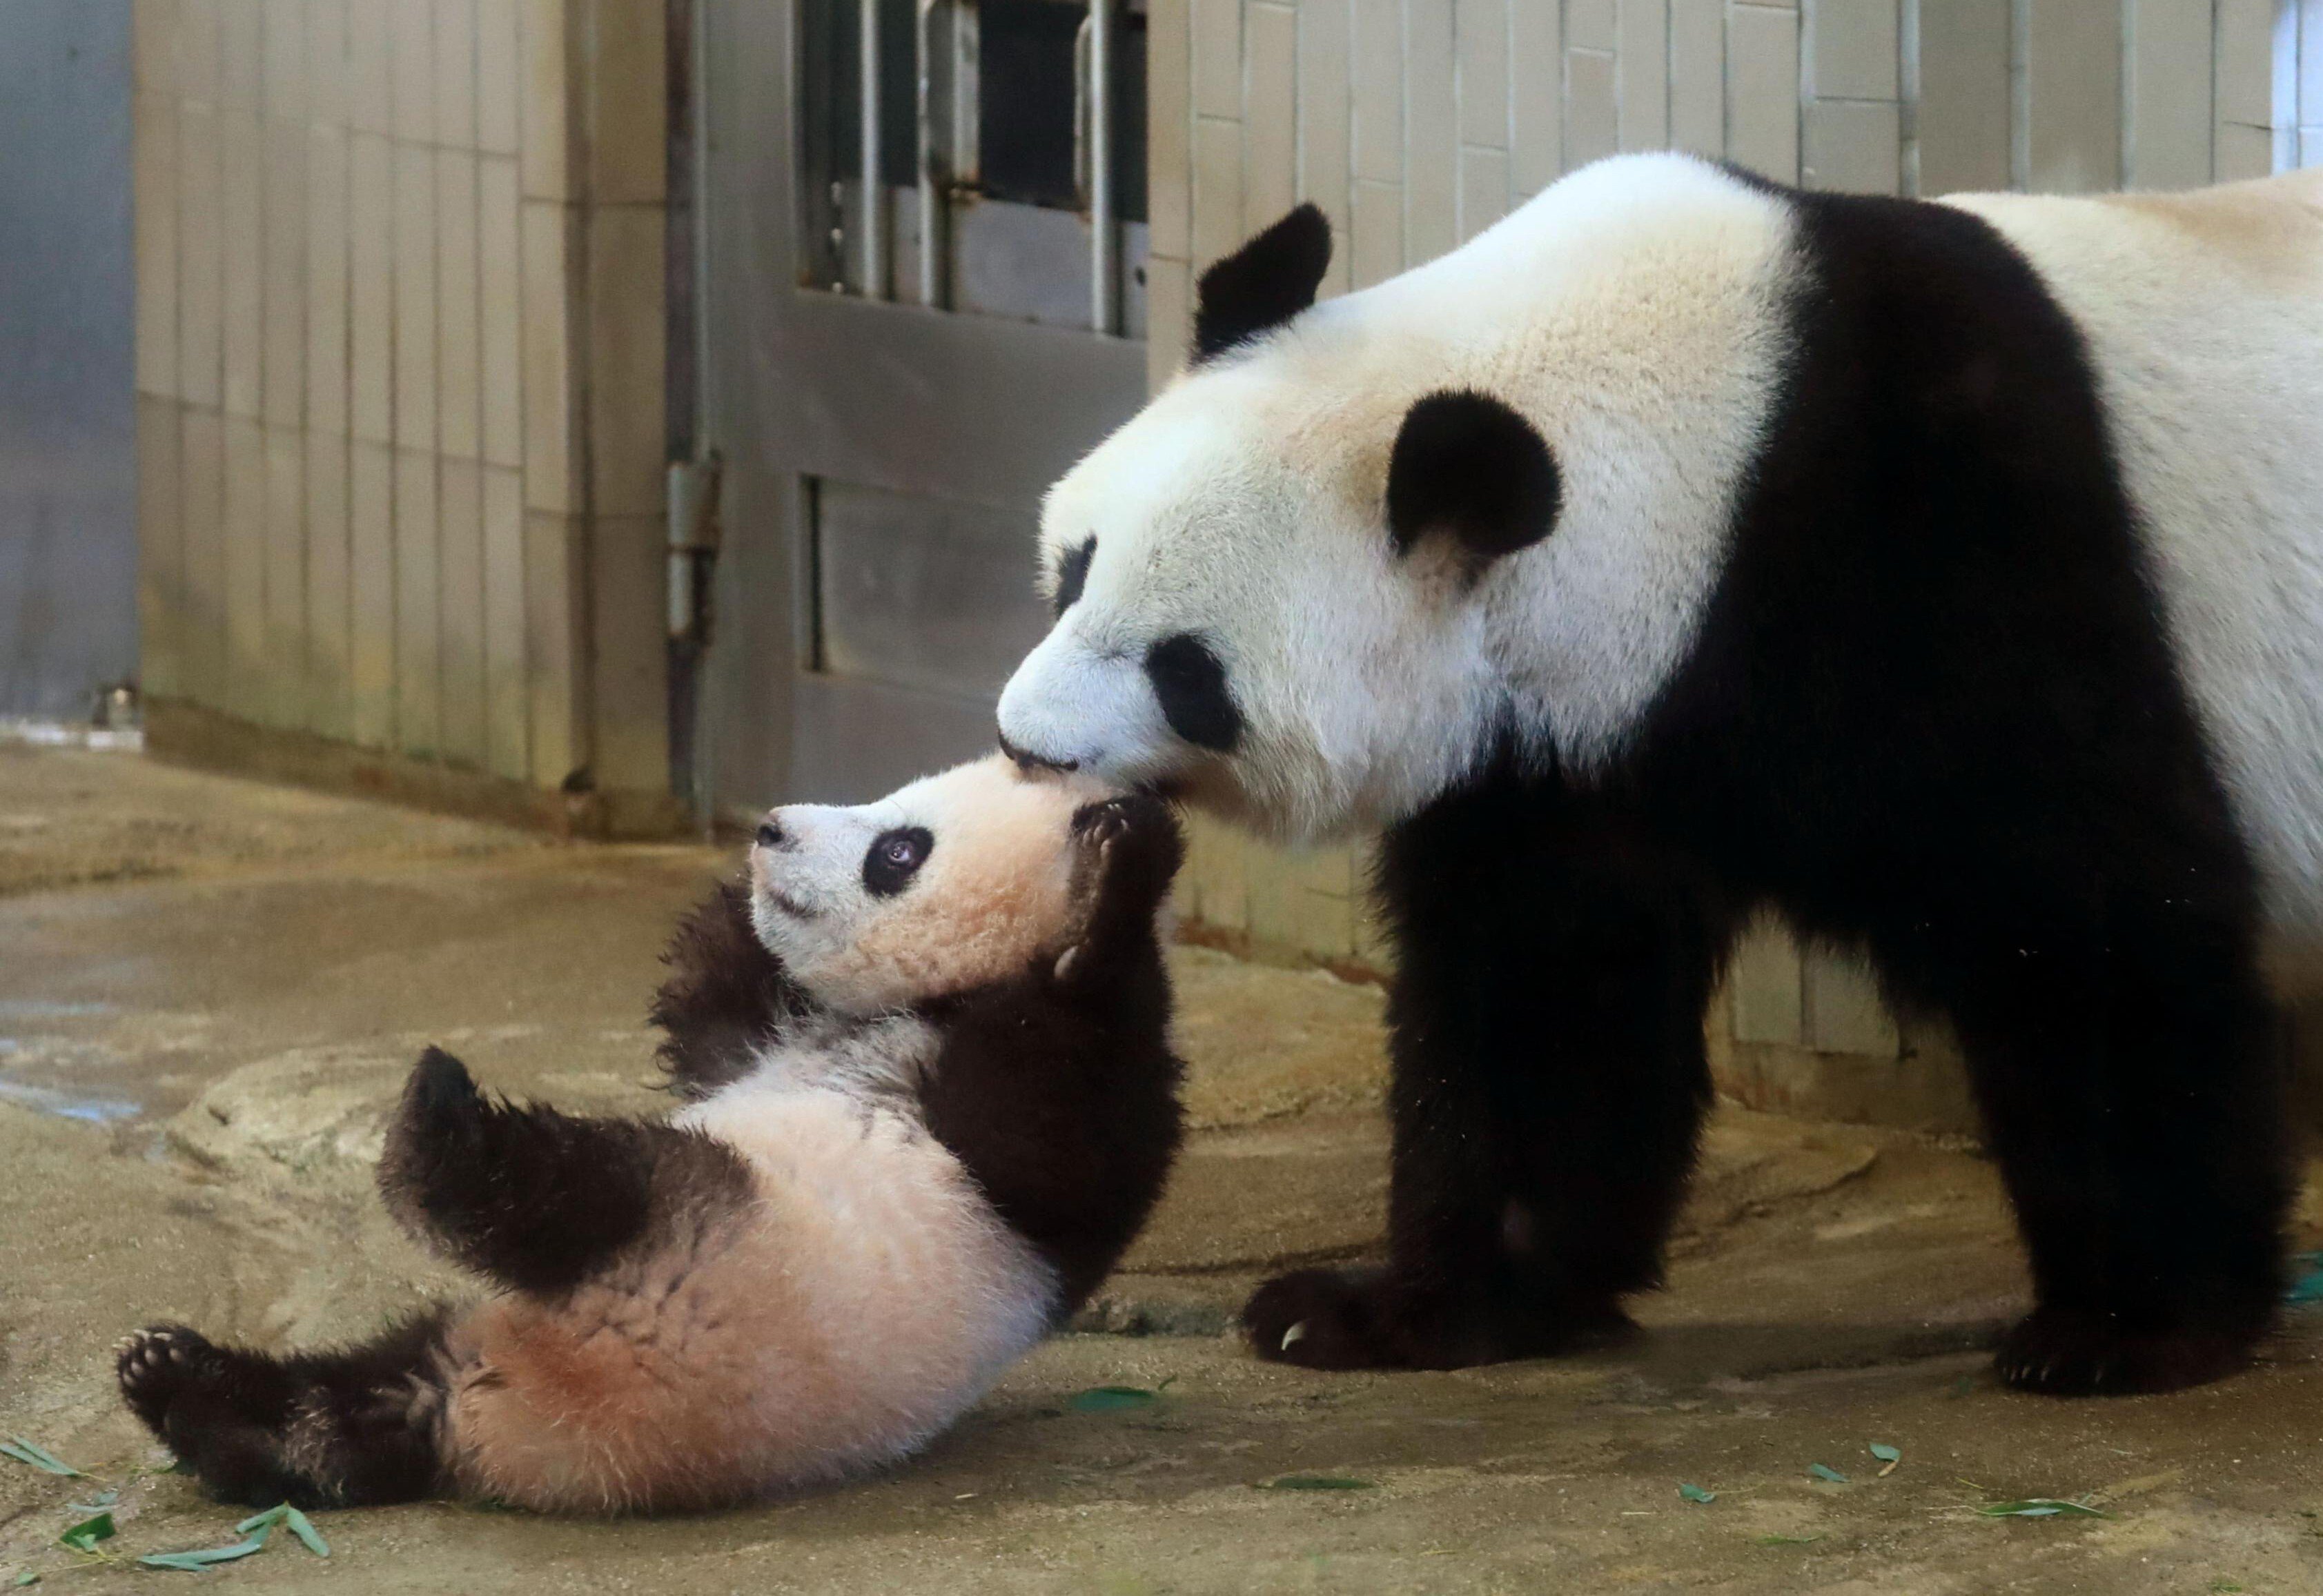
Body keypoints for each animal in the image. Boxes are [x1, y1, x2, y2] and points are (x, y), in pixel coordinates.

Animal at [999, 153, 2323, 1394]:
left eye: (1186, 670)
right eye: (1075, 568)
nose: (1024, 743)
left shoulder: (1946, 546)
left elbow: (2087, 910)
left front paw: (2124, 1328)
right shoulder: (1570, 734)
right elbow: (1548, 977)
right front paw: (1397, 1307)